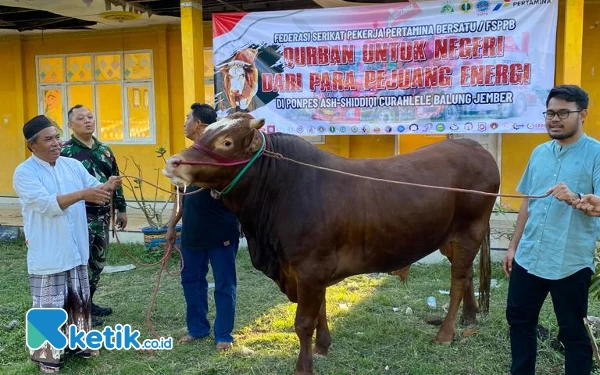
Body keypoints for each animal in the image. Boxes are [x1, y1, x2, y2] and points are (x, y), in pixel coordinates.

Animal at [162, 112, 500, 375]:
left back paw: (446, 333)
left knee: (457, 281)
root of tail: (477, 149)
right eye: (205, 133)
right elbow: (321, 310)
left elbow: (303, 322)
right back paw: (469, 318)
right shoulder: (311, 270)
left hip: (469, 231)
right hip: (450, 239)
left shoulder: (310, 268)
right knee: (467, 275)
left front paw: (303, 366)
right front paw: (323, 346)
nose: (174, 162)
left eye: (226, 142)